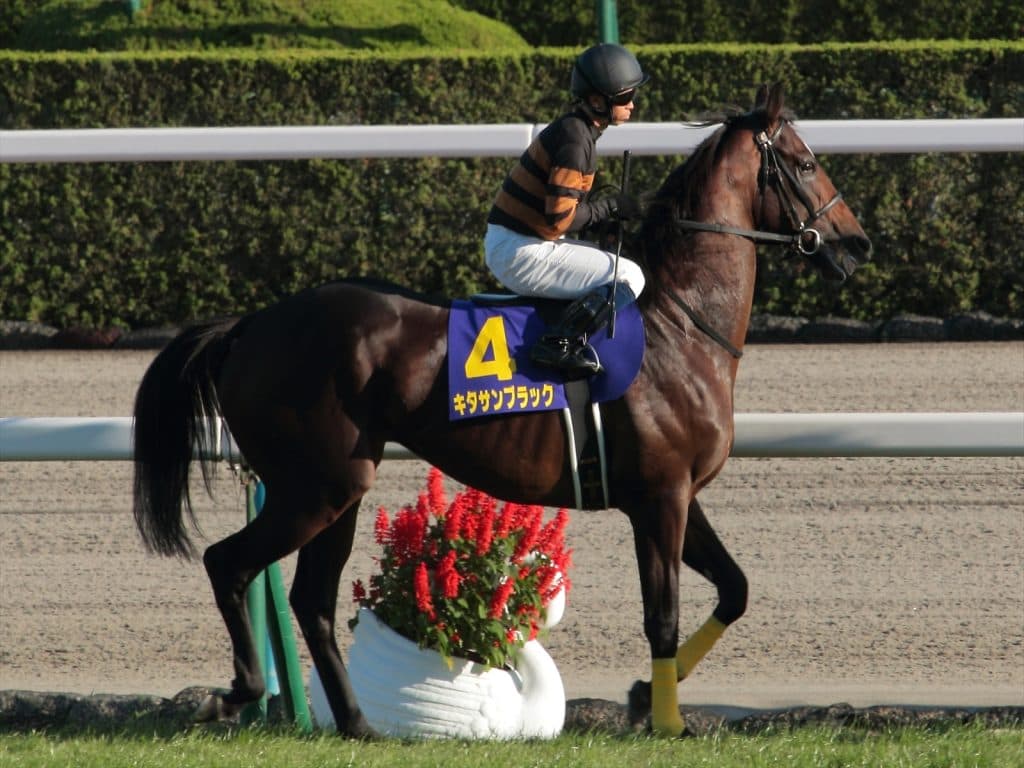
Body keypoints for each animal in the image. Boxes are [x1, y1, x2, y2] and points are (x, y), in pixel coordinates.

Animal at [132, 83, 871, 738]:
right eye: (806, 162)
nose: (857, 242)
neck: (682, 324)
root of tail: (249, 325)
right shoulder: (659, 498)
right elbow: (660, 616)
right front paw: (667, 723)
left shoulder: (678, 494)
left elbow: (735, 589)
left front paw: (641, 696)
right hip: (314, 486)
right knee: (230, 564)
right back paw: (237, 694)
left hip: (338, 486)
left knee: (311, 600)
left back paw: (359, 726)